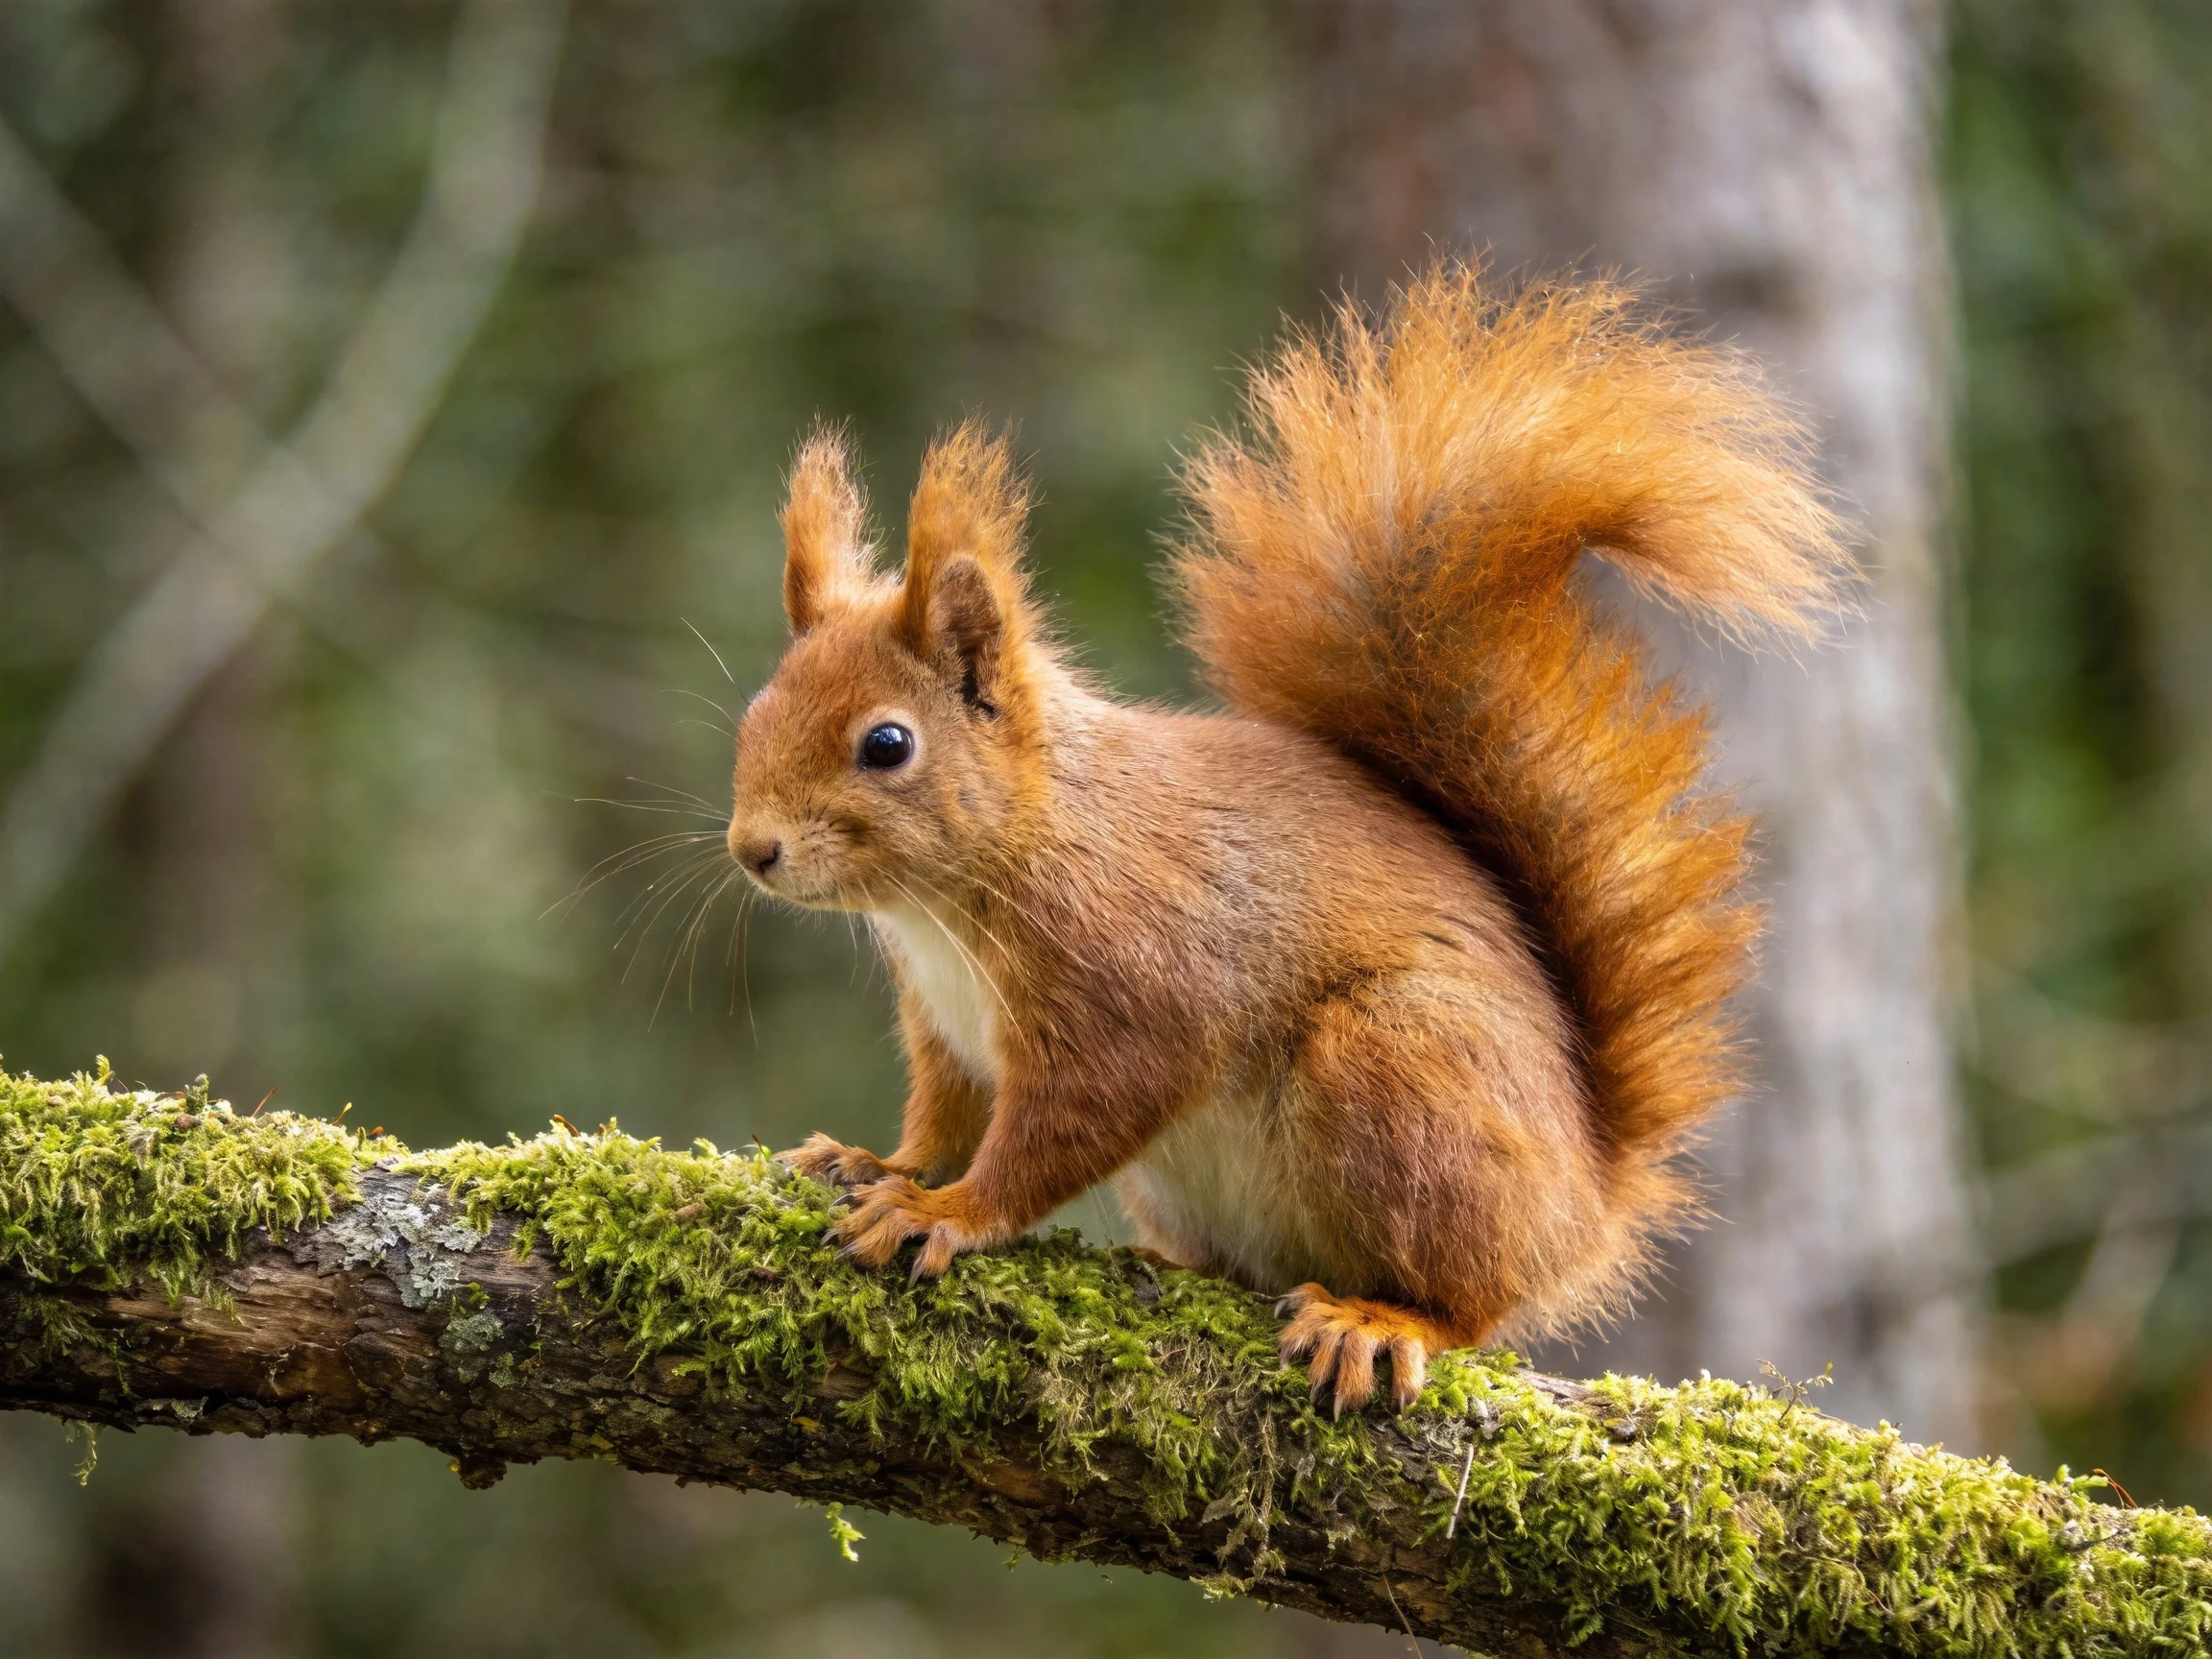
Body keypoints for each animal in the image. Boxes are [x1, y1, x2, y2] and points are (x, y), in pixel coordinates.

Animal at [726, 265, 1849, 1414]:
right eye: (755, 712)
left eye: (887, 744)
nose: (750, 849)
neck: (962, 893)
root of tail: (1584, 1202)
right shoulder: (947, 1029)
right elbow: (946, 1115)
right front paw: (883, 1165)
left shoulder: (1133, 979)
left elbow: (1065, 1128)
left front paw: (947, 1212)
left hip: (1400, 1072)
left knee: (1473, 1299)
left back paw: (1382, 1319)